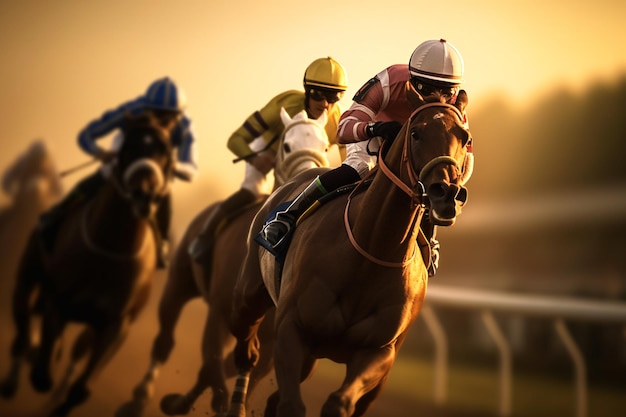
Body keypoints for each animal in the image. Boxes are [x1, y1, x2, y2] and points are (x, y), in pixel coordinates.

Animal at [1, 114, 176, 416]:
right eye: (128, 148)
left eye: (164, 152)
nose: (144, 195)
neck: (110, 249)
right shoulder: (56, 299)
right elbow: (42, 374)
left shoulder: (117, 323)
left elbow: (80, 390)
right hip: (26, 281)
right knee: (23, 330)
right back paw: (14, 379)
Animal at [224, 86, 468, 414]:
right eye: (416, 133)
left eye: (464, 137)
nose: (447, 194)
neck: (369, 252)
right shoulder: (291, 329)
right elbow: (291, 404)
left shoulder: (378, 352)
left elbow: (338, 402)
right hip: (248, 298)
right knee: (246, 351)